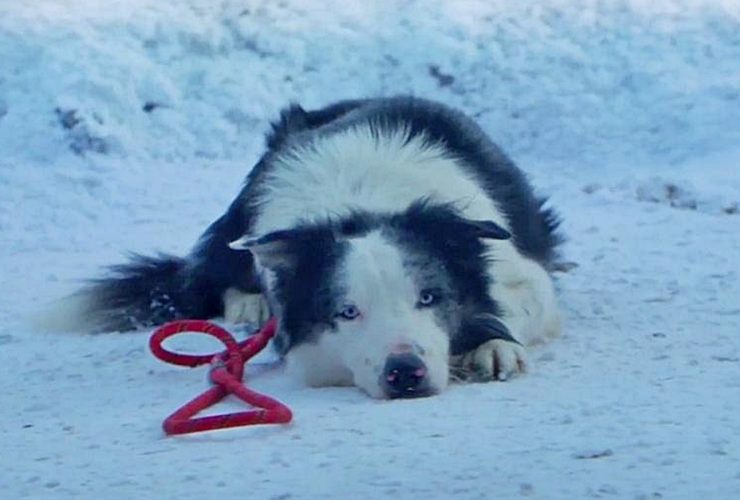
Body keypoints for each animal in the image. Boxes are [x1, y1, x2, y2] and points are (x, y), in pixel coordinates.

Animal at [71, 96, 560, 398]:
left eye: (429, 297)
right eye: (348, 311)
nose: (404, 373)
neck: (361, 204)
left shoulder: (521, 269)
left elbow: (516, 302)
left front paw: (492, 344)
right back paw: (249, 304)